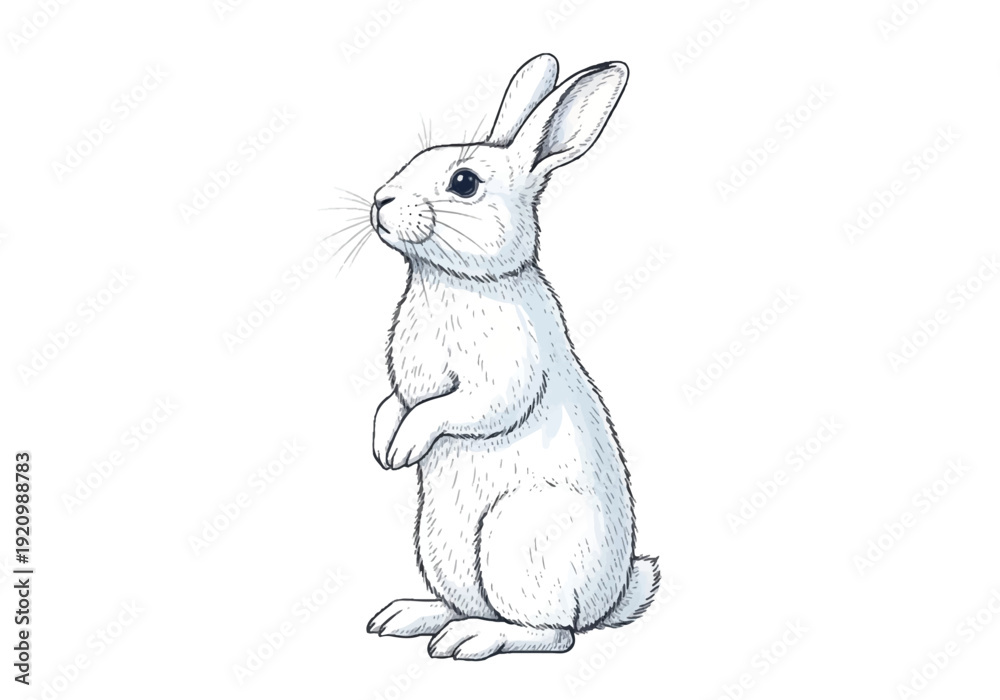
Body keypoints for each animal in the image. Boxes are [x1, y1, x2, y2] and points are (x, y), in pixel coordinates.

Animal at [365, 54, 659, 660]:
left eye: (464, 183)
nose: (381, 199)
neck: (457, 280)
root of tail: (612, 599)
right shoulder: (403, 385)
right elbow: (391, 403)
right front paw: (384, 448)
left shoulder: (501, 375)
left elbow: (461, 408)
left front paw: (404, 447)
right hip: (439, 548)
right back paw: (407, 616)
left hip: (513, 541)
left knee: (554, 634)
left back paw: (469, 640)